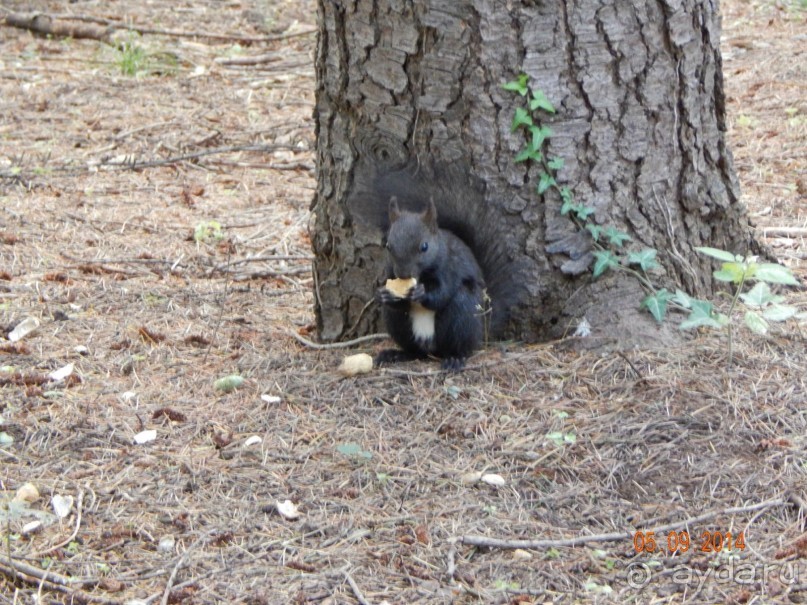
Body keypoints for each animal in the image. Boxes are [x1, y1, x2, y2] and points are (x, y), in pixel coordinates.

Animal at [350, 158, 528, 370]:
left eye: (424, 246)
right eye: (388, 245)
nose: (403, 274)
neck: (421, 275)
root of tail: (482, 326)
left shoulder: (449, 268)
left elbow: (442, 294)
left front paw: (421, 293)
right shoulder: (389, 271)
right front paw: (382, 294)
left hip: (462, 314)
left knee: (461, 345)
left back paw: (455, 359)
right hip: (399, 326)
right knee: (414, 350)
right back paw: (396, 354)